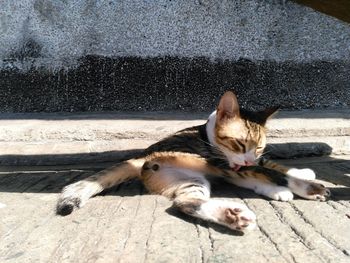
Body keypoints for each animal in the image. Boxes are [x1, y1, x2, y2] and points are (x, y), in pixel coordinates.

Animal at [56, 92, 330, 232]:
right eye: (240, 144)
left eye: (259, 146)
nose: (248, 158)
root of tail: (144, 156)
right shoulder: (229, 165)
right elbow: (267, 170)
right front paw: (295, 182)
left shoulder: (241, 166)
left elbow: (267, 166)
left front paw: (295, 175)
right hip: (203, 165)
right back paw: (308, 189)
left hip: (190, 180)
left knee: (184, 202)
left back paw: (231, 216)